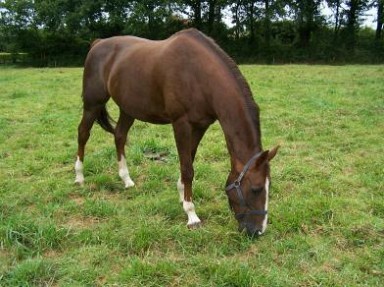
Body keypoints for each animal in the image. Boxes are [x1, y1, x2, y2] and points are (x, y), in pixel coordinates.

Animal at [75, 28, 280, 236]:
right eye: (256, 189)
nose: (258, 231)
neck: (197, 74)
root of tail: (98, 43)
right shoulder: (181, 123)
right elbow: (188, 168)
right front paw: (192, 215)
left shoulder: (200, 126)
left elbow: (189, 160)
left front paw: (182, 196)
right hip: (93, 103)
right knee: (83, 134)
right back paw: (79, 177)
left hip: (128, 108)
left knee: (119, 136)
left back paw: (126, 180)